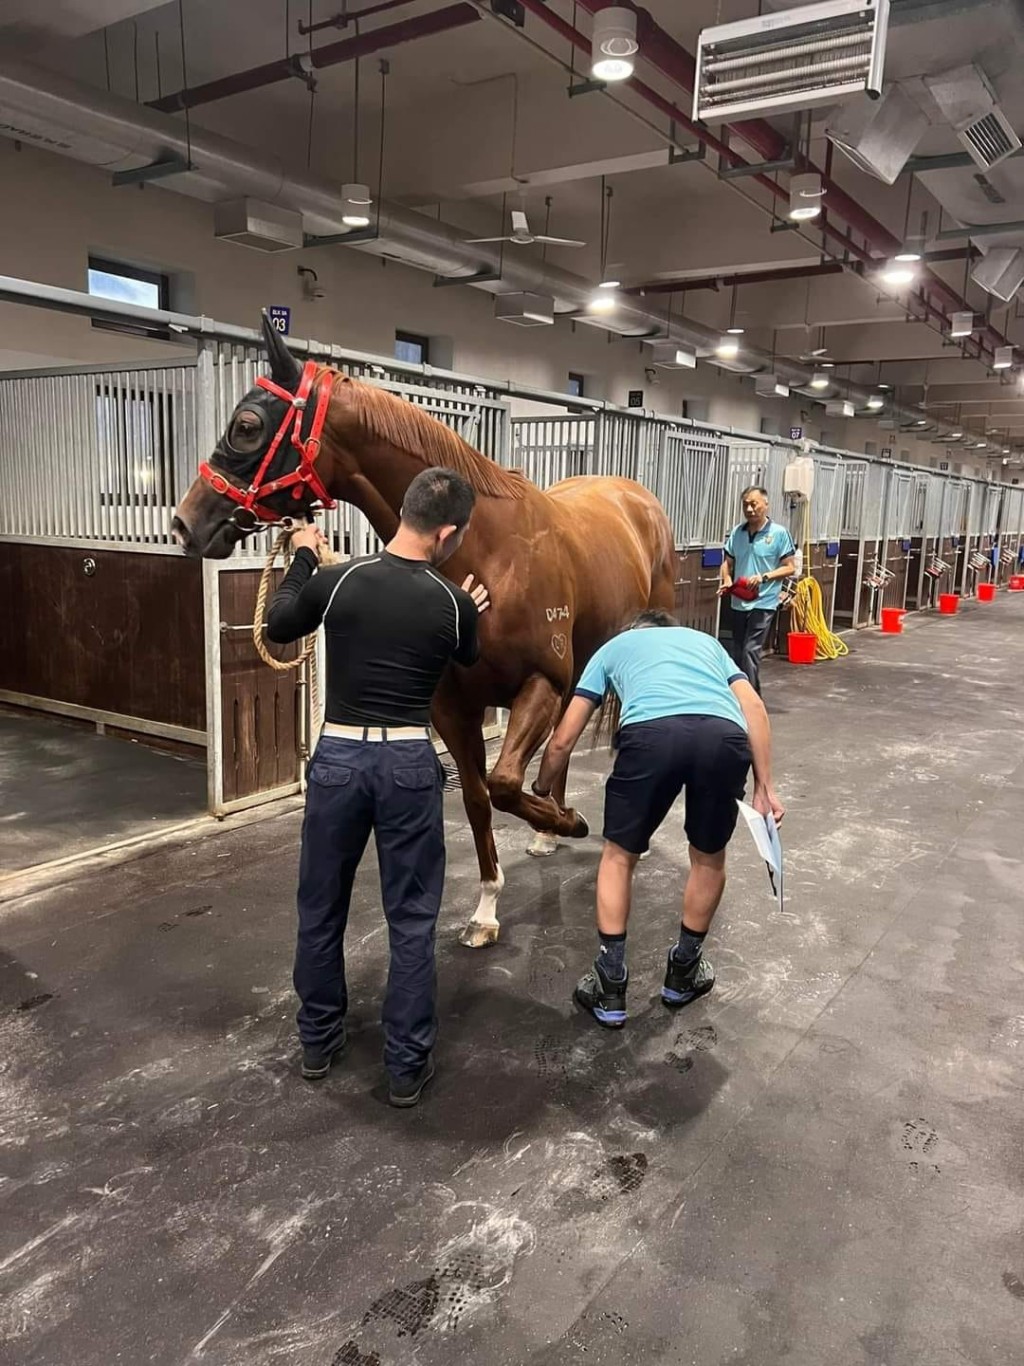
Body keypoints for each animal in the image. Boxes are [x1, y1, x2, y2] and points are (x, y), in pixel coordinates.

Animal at [172, 315, 677, 945]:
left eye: (246, 425)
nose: (185, 524)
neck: (489, 552)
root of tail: (636, 498)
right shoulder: (452, 706)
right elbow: (484, 795)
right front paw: (487, 907)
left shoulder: (538, 682)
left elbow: (506, 783)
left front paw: (573, 820)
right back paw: (546, 833)